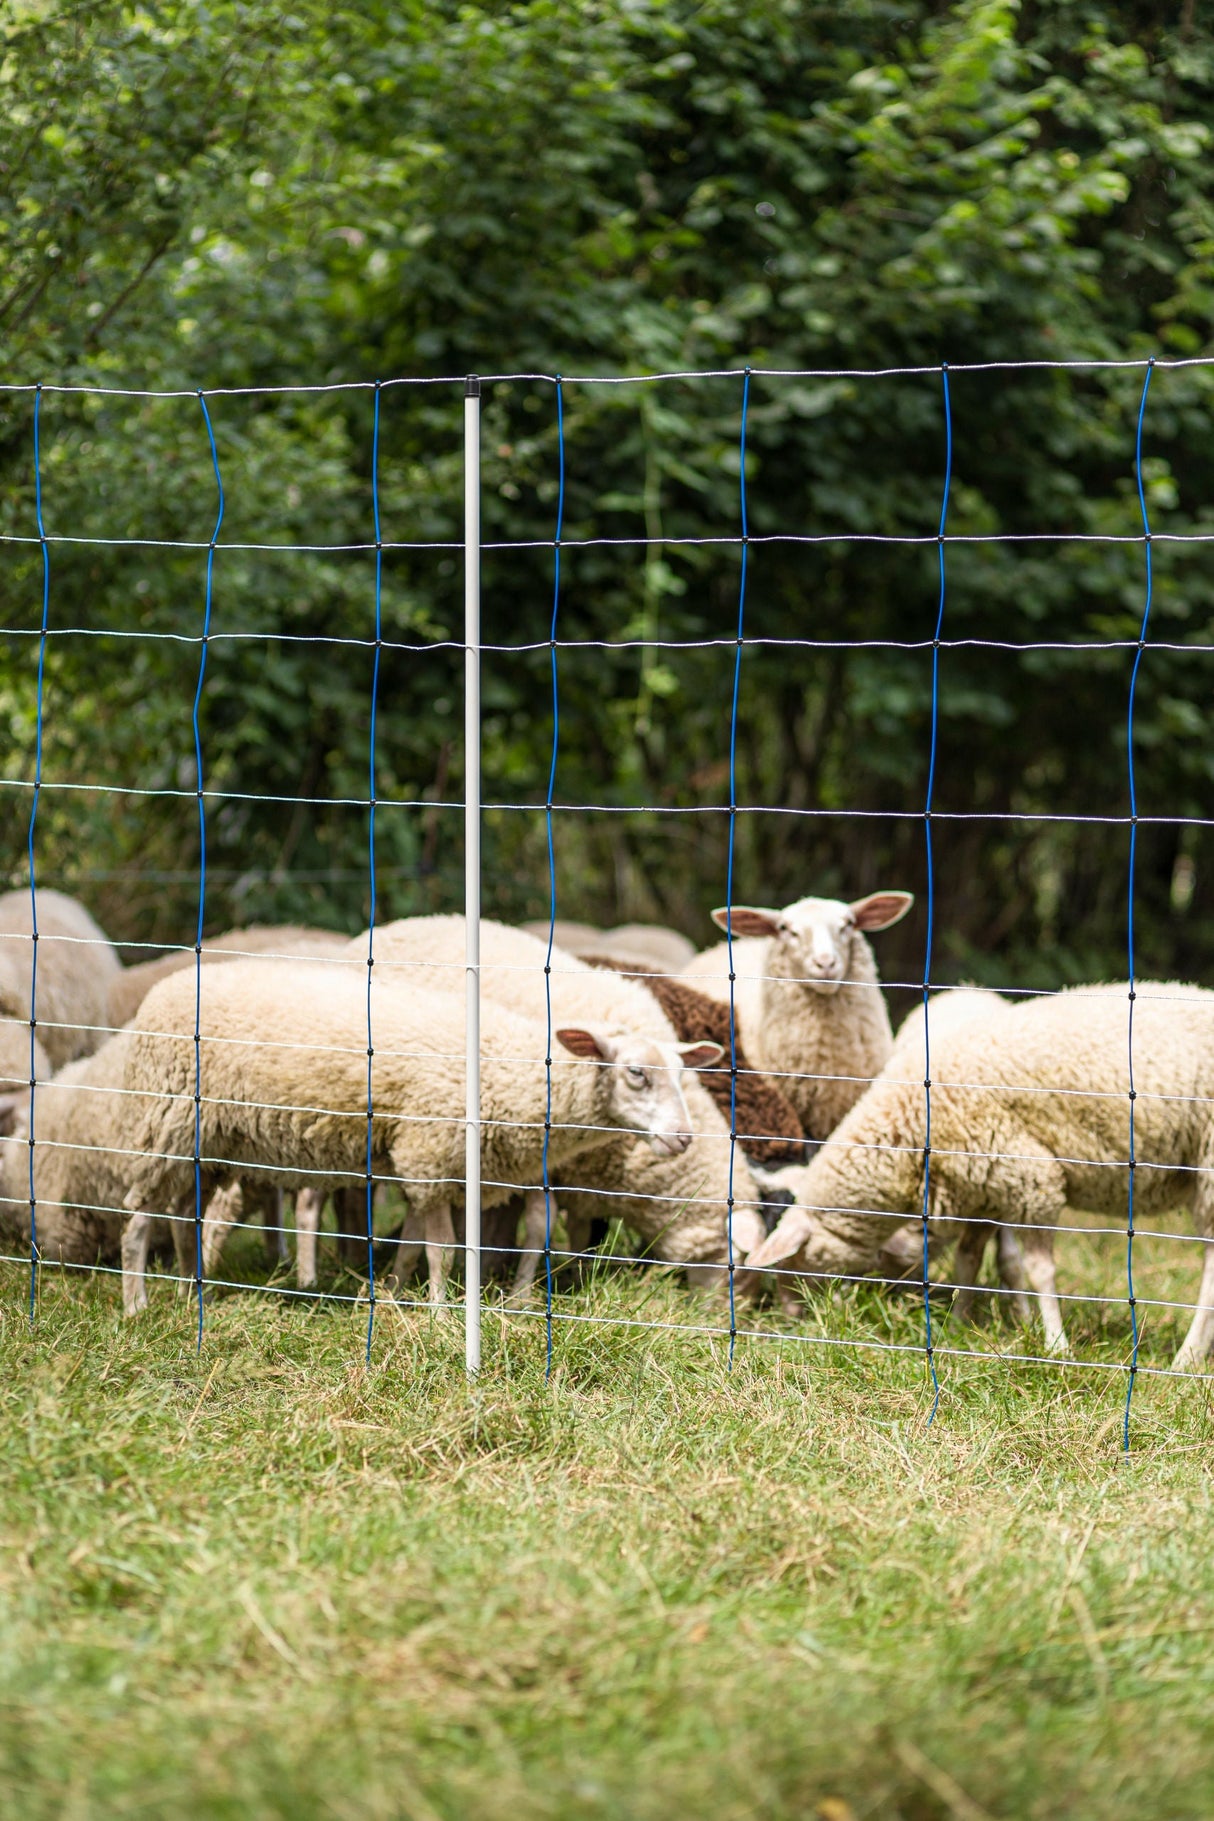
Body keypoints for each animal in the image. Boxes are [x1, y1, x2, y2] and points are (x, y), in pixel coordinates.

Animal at [115, 961, 717, 1318]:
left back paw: (194, 1290)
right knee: (139, 1219)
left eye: (682, 1074)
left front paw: (393, 1293)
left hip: (212, 1144)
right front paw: (441, 1312)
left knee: (189, 1216)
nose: (683, 1139)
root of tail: (162, 989)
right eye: (636, 1073)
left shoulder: (429, 1166)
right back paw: (137, 1305)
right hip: (166, 1122)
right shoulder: (429, 1154)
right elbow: (442, 1250)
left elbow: (412, 1244)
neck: (510, 1069)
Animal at [364, 917, 768, 1289]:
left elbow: (574, 1231)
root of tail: (396, 925)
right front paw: (520, 1292)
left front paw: (574, 1277)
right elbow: (539, 1224)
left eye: (682, 1075)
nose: (683, 1137)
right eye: (734, 1273)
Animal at [735, 983, 1214, 1369]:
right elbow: (968, 1258)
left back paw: (1186, 1359)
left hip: (1208, 1165)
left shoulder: (1031, 1181)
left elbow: (1040, 1271)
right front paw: (959, 1325)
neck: (908, 1129)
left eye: (794, 1261)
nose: (797, 1318)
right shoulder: (983, 1184)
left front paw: (1056, 1344)